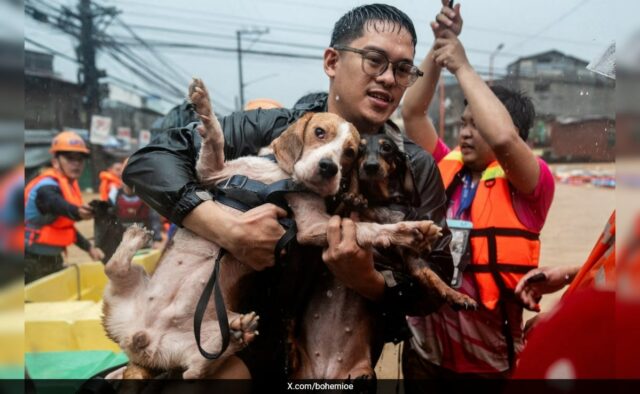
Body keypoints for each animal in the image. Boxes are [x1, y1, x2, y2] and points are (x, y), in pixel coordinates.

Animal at [102, 78, 442, 380]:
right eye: (319, 132)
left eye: (350, 152)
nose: (328, 168)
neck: (282, 178)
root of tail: (142, 342)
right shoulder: (213, 172)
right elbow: (215, 138)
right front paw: (203, 104)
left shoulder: (310, 225)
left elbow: (366, 228)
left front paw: (410, 231)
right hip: (121, 297)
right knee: (113, 269)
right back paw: (134, 239)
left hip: (189, 344)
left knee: (195, 369)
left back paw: (236, 333)